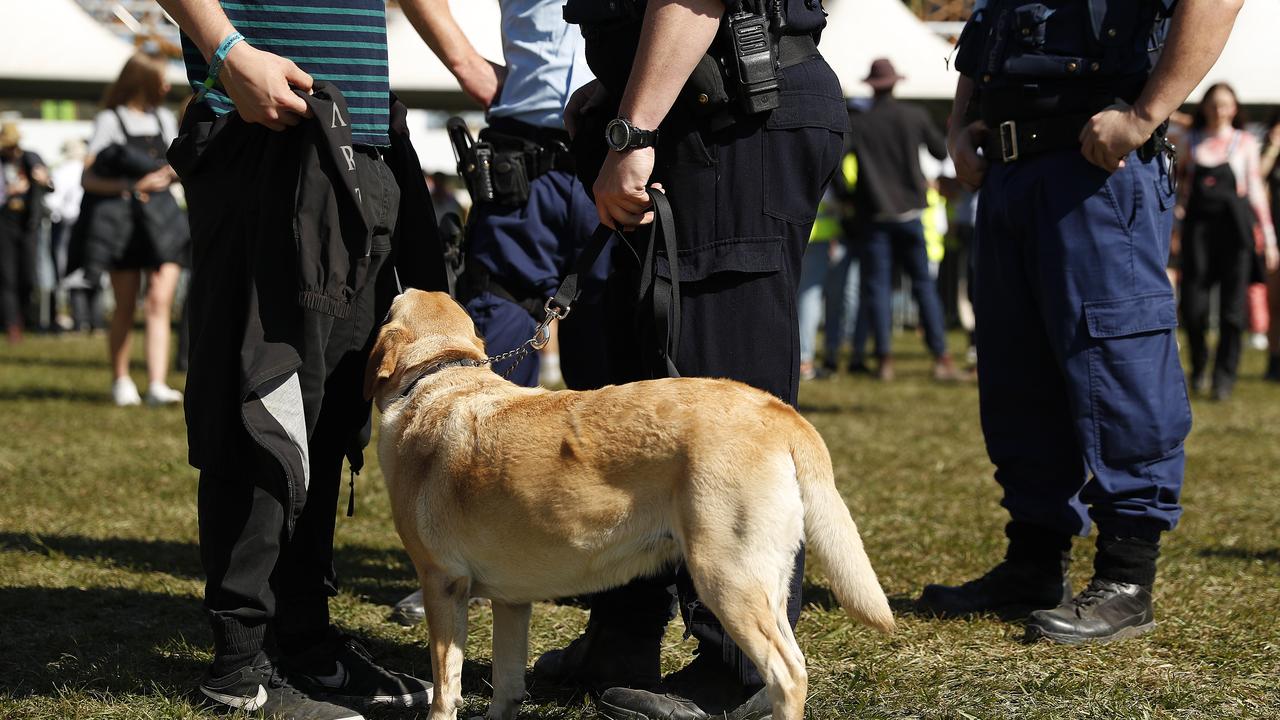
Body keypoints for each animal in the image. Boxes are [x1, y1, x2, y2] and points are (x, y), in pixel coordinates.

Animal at [366, 286, 896, 717]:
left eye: (389, 307)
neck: (438, 378)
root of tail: (777, 410)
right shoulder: (512, 600)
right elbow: (507, 685)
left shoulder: (442, 583)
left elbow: (445, 688)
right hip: (763, 581)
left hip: (727, 577)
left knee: (787, 673)